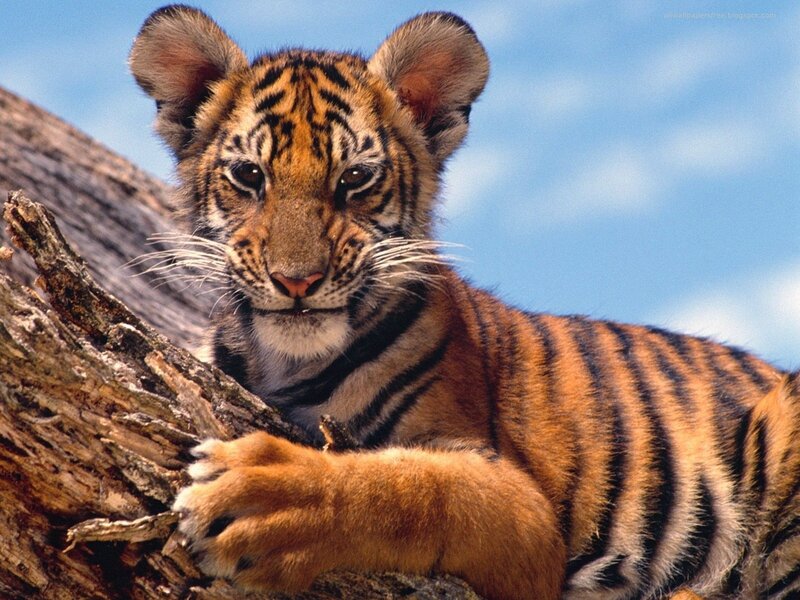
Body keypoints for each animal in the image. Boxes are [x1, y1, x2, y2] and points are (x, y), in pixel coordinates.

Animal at [129, 6, 800, 599]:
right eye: (249, 176)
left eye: (354, 179)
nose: (298, 280)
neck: (285, 362)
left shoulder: (523, 509)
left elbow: (412, 490)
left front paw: (260, 502)